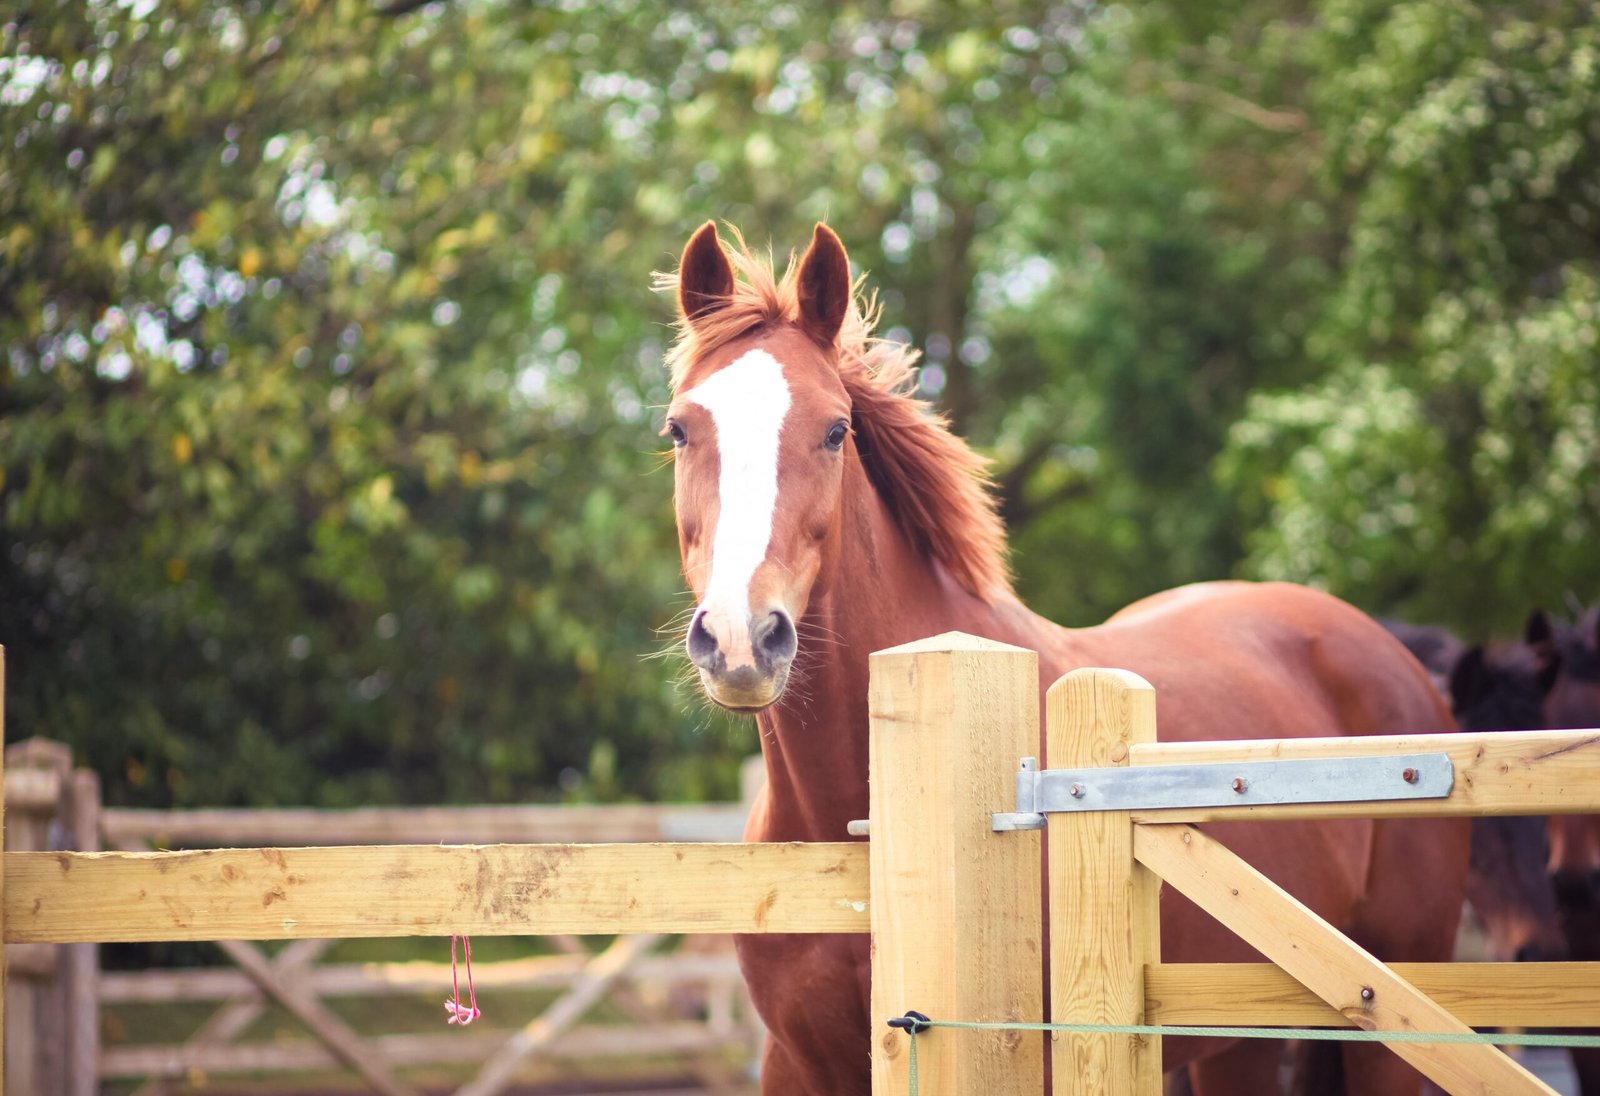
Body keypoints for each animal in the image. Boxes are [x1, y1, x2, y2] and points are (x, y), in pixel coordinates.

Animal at [656, 222, 1465, 1094]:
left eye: (836, 429)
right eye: (678, 429)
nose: (741, 639)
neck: (869, 841)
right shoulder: (796, 1065)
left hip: (1396, 1023)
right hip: (1239, 1035)